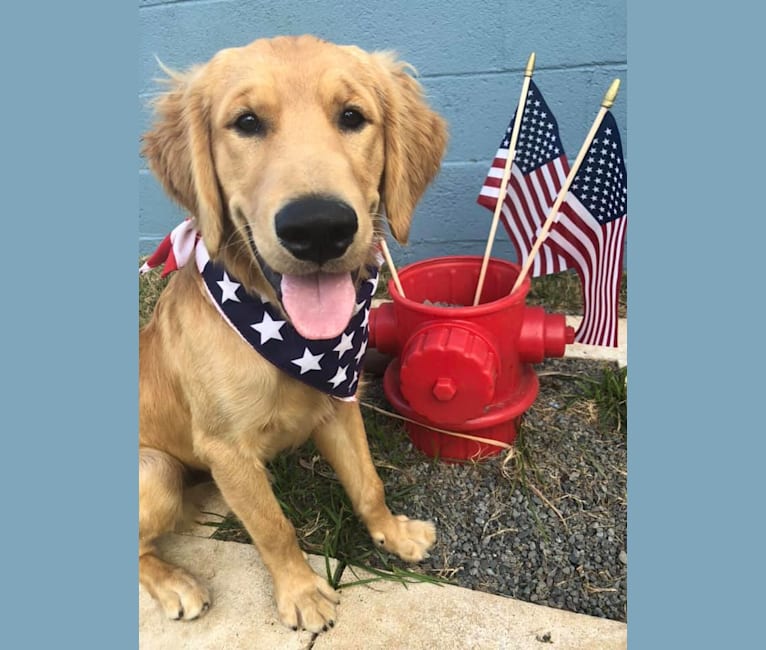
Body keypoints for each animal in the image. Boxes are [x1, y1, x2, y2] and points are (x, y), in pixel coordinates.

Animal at [141, 33, 448, 632]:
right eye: (246, 122)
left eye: (352, 116)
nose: (320, 227)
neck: (286, 338)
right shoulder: (227, 450)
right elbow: (272, 527)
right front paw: (303, 593)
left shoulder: (339, 403)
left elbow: (368, 483)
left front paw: (394, 535)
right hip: (157, 471)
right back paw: (174, 584)